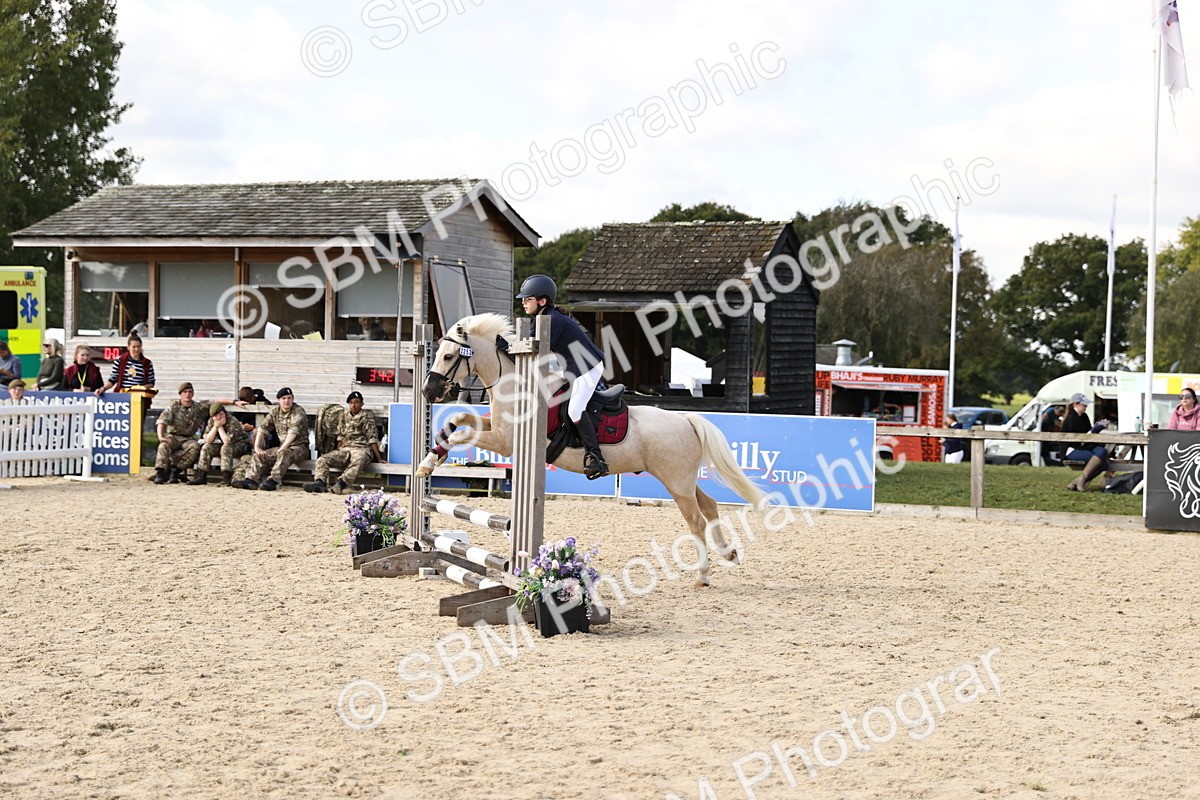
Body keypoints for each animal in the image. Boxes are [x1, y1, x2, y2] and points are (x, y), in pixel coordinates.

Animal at [415, 313, 768, 587]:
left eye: (449, 357)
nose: (427, 391)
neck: (517, 388)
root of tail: (686, 420)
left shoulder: (505, 441)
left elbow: (463, 434)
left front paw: (427, 464)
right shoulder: (498, 430)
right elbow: (460, 420)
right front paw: (431, 458)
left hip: (676, 481)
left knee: (695, 520)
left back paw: (703, 574)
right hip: (683, 479)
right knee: (708, 505)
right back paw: (728, 552)